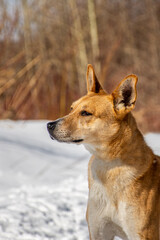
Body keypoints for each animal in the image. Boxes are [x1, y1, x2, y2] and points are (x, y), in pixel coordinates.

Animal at [47, 64, 159, 239]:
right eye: (71, 109)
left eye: (86, 113)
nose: (49, 125)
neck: (108, 166)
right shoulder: (98, 231)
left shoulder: (142, 234)